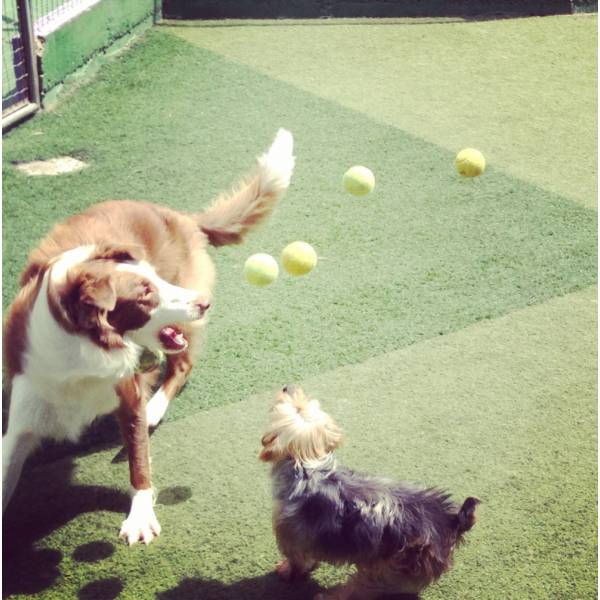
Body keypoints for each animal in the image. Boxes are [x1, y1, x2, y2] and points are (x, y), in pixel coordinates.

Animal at [3, 129, 294, 548]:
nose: (205, 303)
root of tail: (182, 217)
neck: (77, 355)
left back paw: (156, 407)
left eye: (156, 280)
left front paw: (140, 516)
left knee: (181, 366)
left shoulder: (127, 396)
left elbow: (139, 462)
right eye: (144, 295)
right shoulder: (25, 408)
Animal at [260, 386, 480, 596]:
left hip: (393, 567)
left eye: (297, 407)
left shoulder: (292, 538)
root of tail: (451, 521)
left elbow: (298, 562)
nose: (287, 387)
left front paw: (287, 571)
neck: (309, 466)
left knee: (362, 589)